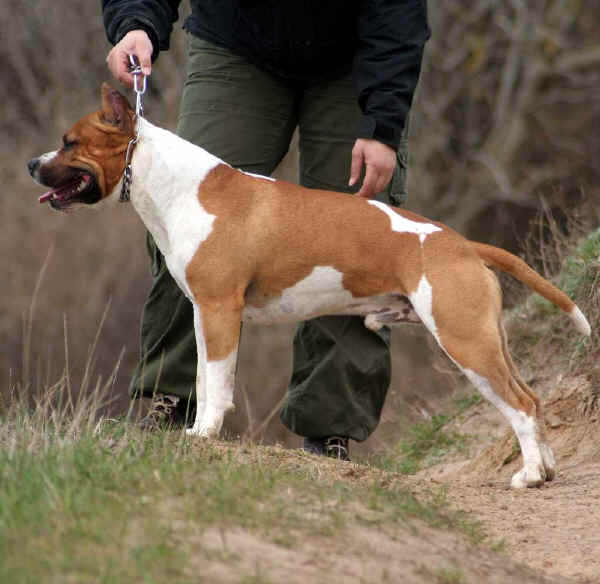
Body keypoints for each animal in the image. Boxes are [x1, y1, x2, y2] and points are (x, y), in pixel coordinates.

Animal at [28, 84, 592, 488]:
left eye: (69, 142)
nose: (32, 164)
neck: (177, 185)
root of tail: (463, 244)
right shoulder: (203, 314)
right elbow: (205, 378)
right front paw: (194, 431)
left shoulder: (220, 310)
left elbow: (219, 385)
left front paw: (206, 435)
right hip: (487, 339)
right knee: (532, 397)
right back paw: (547, 469)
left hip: (465, 340)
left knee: (520, 406)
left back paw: (528, 476)